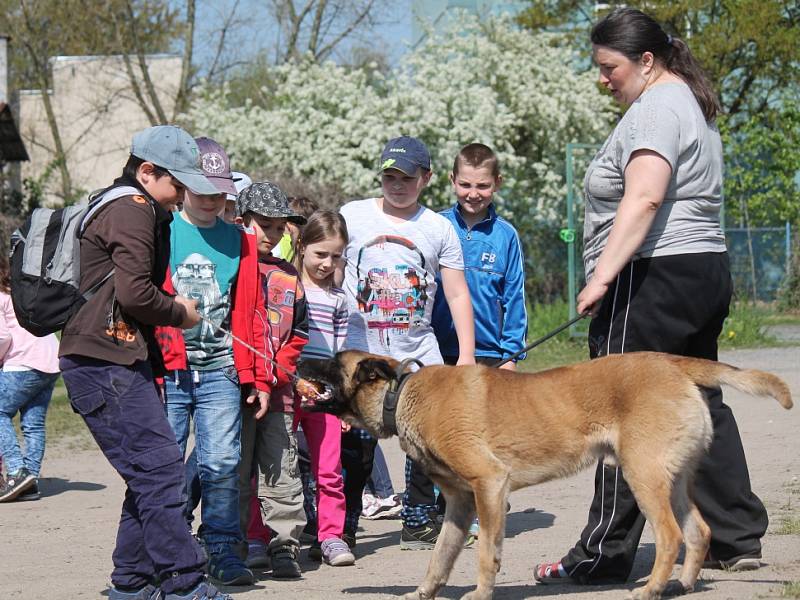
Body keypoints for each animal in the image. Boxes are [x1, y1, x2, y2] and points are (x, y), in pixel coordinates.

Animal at [296, 352, 792, 600]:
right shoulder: (459, 504)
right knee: (699, 531)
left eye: (331, 362)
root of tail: (674, 364)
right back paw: (682, 586)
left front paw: (480, 594)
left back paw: (651, 589)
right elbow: (440, 557)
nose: (297, 358)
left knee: (671, 537)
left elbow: (486, 555)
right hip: (673, 483)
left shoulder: (489, 486)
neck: (401, 395)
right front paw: (424, 592)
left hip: (643, 478)